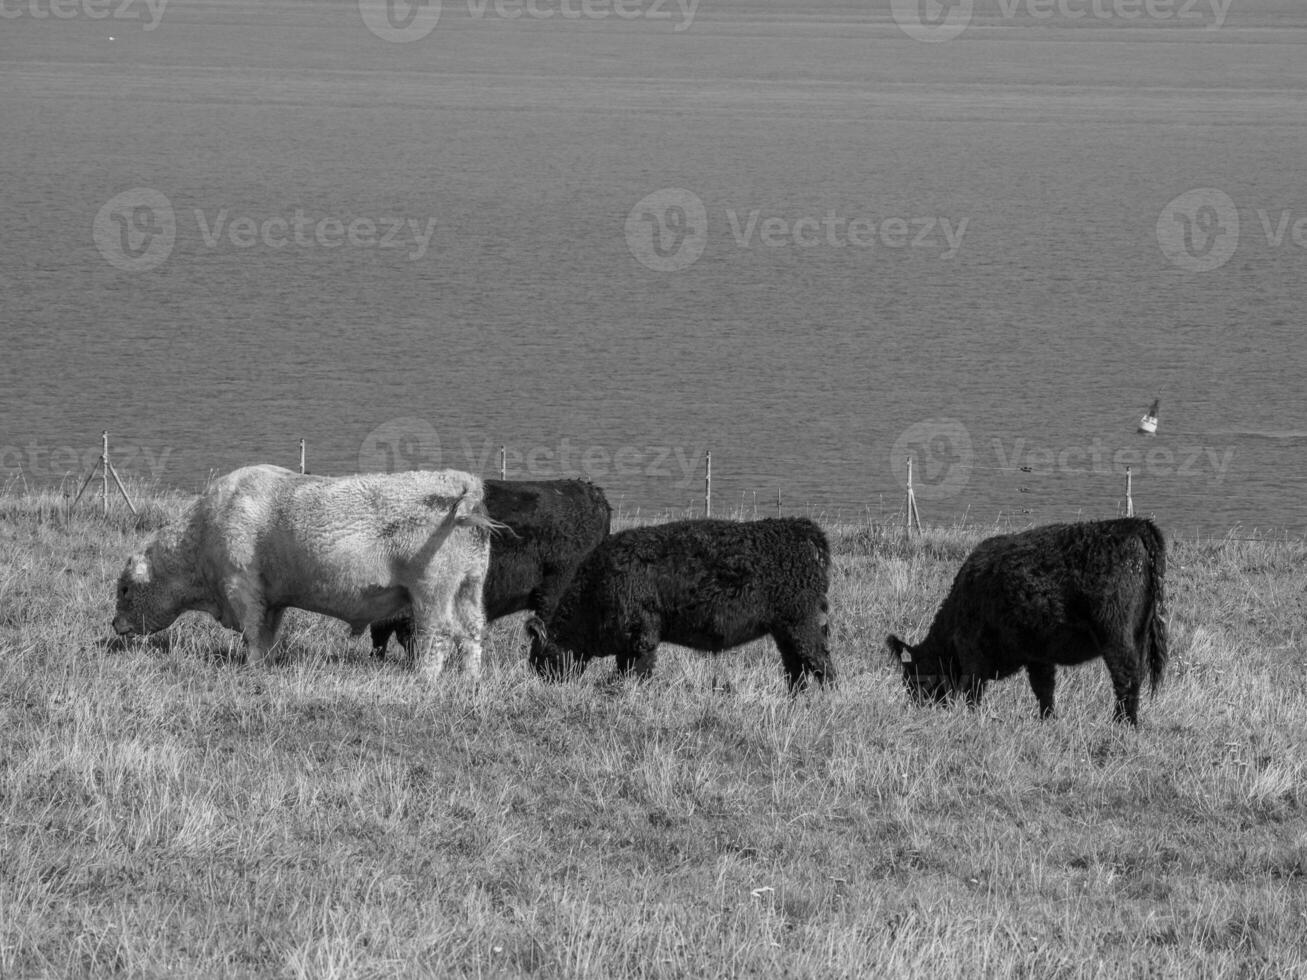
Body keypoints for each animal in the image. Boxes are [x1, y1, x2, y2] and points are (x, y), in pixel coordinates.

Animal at [113, 465, 494, 679]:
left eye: (125, 589)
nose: (115, 624)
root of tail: (462, 480)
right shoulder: (272, 598)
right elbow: (268, 631)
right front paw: (265, 663)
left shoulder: (242, 586)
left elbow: (253, 631)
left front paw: (251, 666)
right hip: (469, 586)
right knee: (472, 632)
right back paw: (470, 679)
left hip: (432, 591)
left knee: (438, 635)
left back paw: (424, 678)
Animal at [525, 517, 831, 695]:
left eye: (542, 657)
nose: (545, 684)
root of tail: (800, 528)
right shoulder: (628, 642)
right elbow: (625, 668)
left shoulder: (643, 636)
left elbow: (639, 669)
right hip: (785, 630)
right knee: (795, 666)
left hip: (801, 624)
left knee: (820, 661)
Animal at [883, 517, 1171, 726]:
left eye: (915, 680)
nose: (920, 710)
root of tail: (1135, 524)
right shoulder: (1038, 654)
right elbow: (1044, 688)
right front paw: (1047, 721)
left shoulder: (971, 650)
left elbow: (973, 689)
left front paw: (973, 717)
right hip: (1139, 631)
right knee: (1136, 675)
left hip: (1116, 631)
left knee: (1126, 676)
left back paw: (1122, 723)